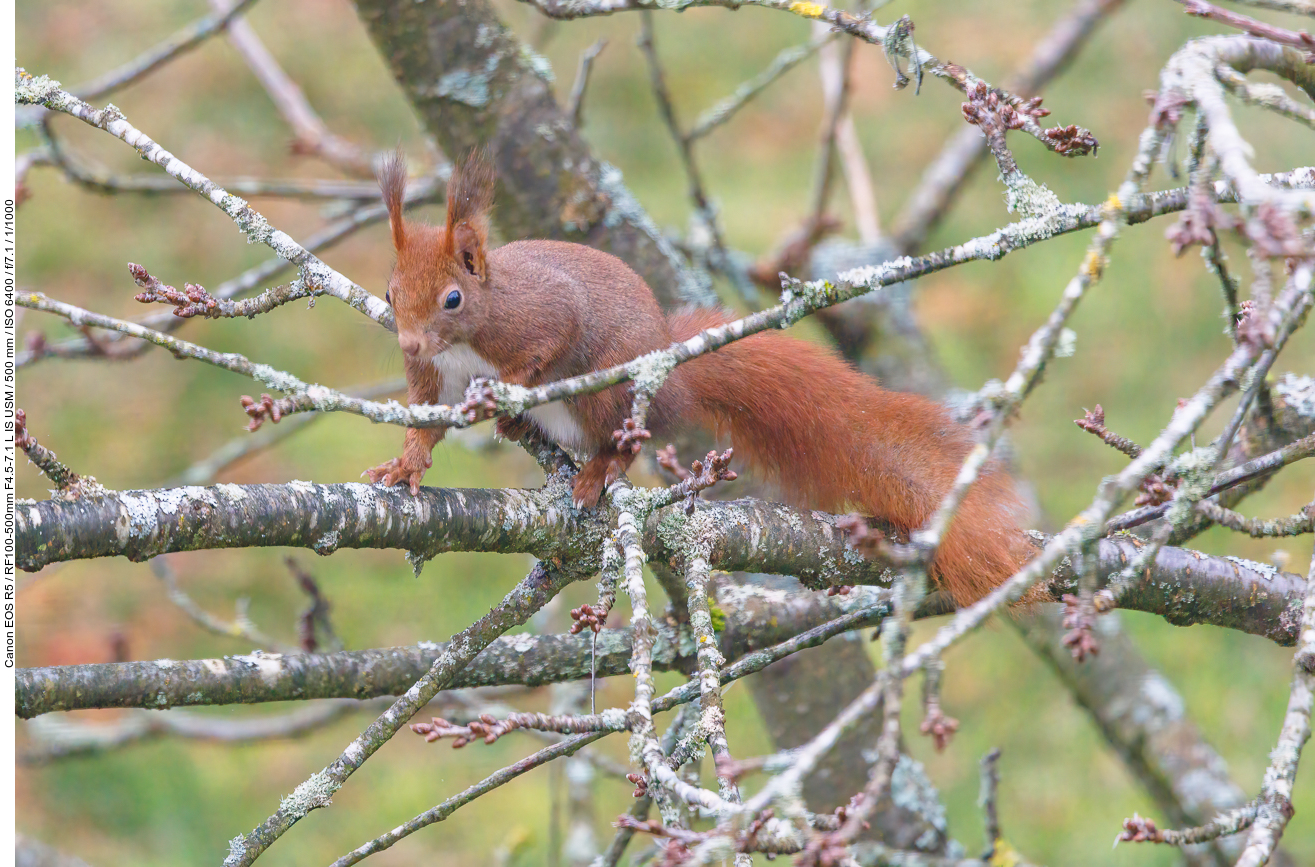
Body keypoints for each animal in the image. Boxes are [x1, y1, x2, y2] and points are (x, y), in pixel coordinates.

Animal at [365, 152, 1030, 607]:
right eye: (391, 293)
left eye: (453, 299)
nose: (408, 341)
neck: (465, 343)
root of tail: (670, 374)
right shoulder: (431, 377)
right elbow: (424, 423)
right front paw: (405, 465)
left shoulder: (542, 315)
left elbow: (547, 346)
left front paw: (500, 391)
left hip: (610, 397)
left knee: (620, 443)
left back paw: (592, 471)